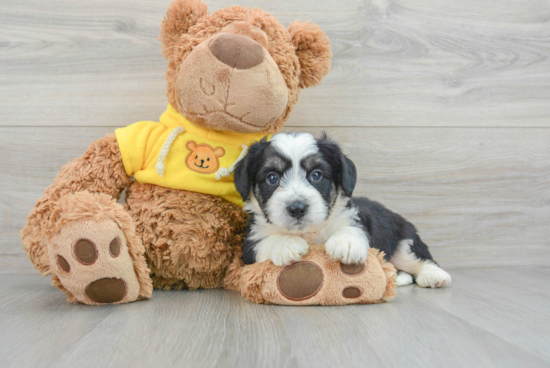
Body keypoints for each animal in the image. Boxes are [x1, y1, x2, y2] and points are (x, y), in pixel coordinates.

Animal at [233, 132, 452, 288]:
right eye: (272, 178)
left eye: (316, 175)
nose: (297, 208)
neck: (308, 233)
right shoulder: (249, 244)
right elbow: (266, 241)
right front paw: (286, 243)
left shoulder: (354, 217)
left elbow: (351, 228)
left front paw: (345, 243)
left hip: (404, 240)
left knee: (417, 259)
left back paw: (433, 275)